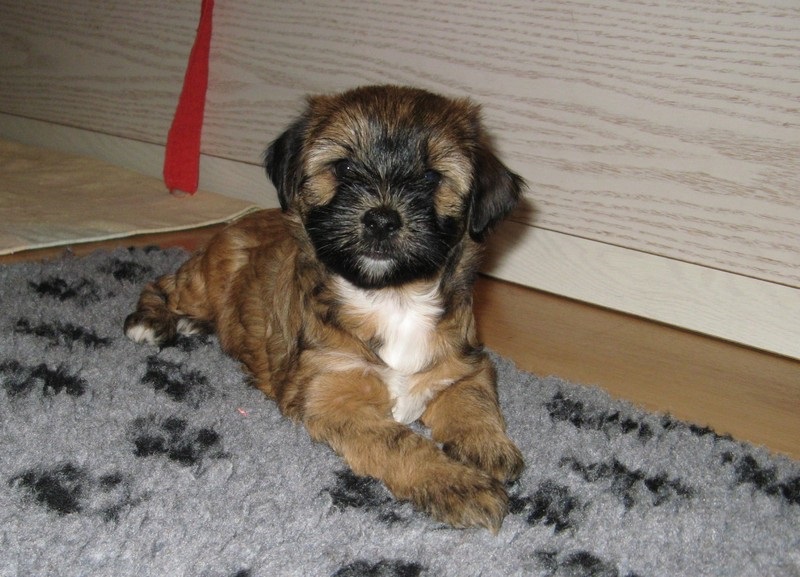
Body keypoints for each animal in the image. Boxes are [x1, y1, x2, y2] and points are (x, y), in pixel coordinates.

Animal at [125, 85, 525, 531]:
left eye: (429, 177)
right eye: (344, 167)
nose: (382, 220)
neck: (393, 297)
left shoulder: (465, 362)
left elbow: (474, 400)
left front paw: (486, 446)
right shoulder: (335, 397)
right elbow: (400, 442)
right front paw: (457, 484)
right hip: (204, 280)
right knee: (161, 285)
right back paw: (153, 321)